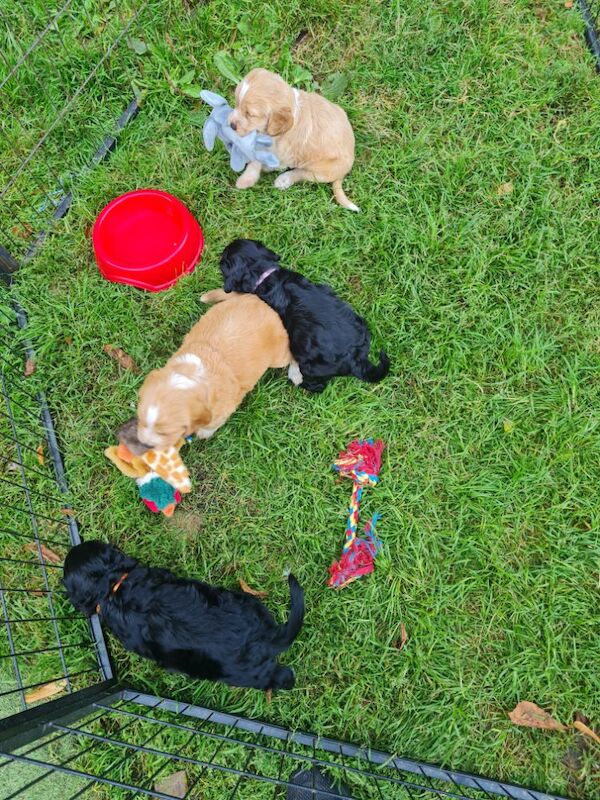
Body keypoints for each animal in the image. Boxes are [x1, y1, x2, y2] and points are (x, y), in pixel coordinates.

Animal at [137, 290, 296, 446]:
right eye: (141, 420)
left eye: (166, 433)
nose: (144, 444)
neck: (188, 376)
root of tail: (258, 299)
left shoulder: (224, 409)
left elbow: (211, 424)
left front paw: (203, 433)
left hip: (279, 356)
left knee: (291, 355)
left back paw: (295, 374)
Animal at [227, 68, 358, 211]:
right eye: (237, 103)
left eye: (250, 114)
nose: (231, 125)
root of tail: (344, 172)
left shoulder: (285, 154)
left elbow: (269, 162)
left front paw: (253, 175)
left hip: (322, 170)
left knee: (303, 173)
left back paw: (284, 180)